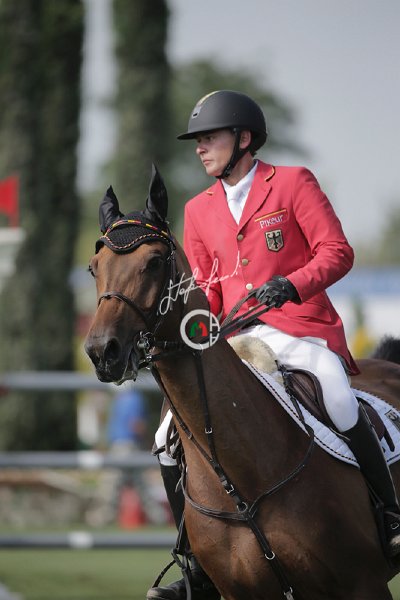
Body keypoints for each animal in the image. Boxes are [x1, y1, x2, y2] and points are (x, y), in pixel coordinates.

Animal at [84, 166, 400, 600]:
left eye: (154, 262)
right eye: (93, 267)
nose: (103, 351)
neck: (243, 478)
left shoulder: (363, 584)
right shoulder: (241, 592)